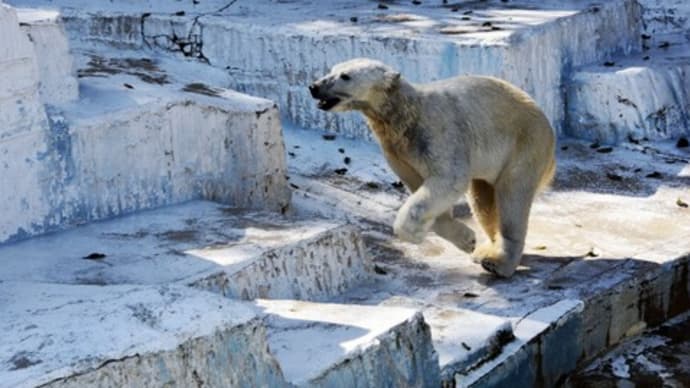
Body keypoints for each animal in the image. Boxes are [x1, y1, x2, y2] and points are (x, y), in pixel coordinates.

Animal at [310, 57, 556, 278]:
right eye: (331, 70)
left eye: (345, 76)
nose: (314, 87)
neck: (405, 113)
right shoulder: (398, 151)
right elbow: (421, 187)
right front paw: (466, 239)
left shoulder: (438, 133)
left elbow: (448, 180)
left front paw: (414, 234)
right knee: (483, 201)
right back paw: (485, 251)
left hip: (525, 146)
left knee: (511, 196)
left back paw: (498, 263)